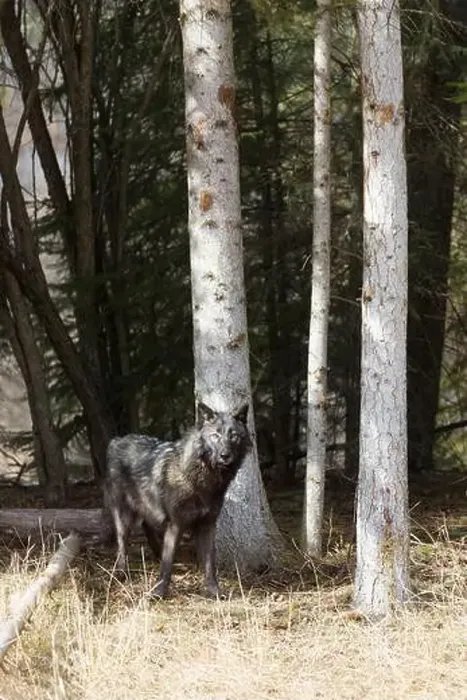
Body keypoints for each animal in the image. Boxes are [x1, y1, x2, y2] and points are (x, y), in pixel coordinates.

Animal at [103, 402, 251, 598]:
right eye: (215, 435)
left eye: (233, 436)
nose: (225, 455)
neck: (201, 479)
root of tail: (116, 441)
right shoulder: (176, 525)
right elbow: (167, 565)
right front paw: (158, 593)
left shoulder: (207, 525)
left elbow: (209, 564)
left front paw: (215, 592)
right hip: (124, 516)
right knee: (122, 543)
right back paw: (121, 572)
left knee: (147, 526)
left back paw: (156, 552)